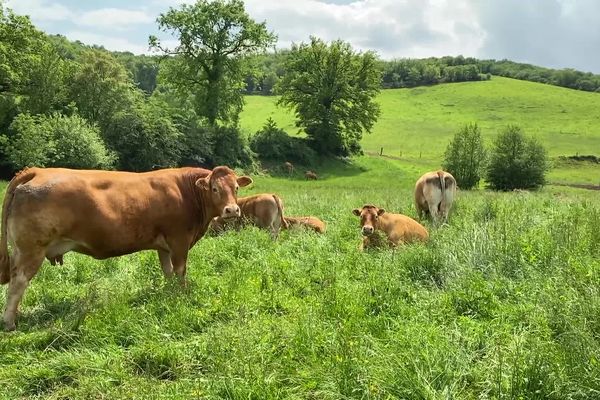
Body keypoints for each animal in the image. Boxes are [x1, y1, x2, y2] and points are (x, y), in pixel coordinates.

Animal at [0, 166, 253, 332]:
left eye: (236, 188)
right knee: (18, 283)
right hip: (32, 250)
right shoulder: (179, 240)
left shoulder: (164, 245)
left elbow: (168, 271)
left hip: (21, 251)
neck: (186, 192)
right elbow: (180, 271)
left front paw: (169, 293)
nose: (232, 210)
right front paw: (181, 294)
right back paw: (10, 323)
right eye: (214, 188)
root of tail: (37, 171)